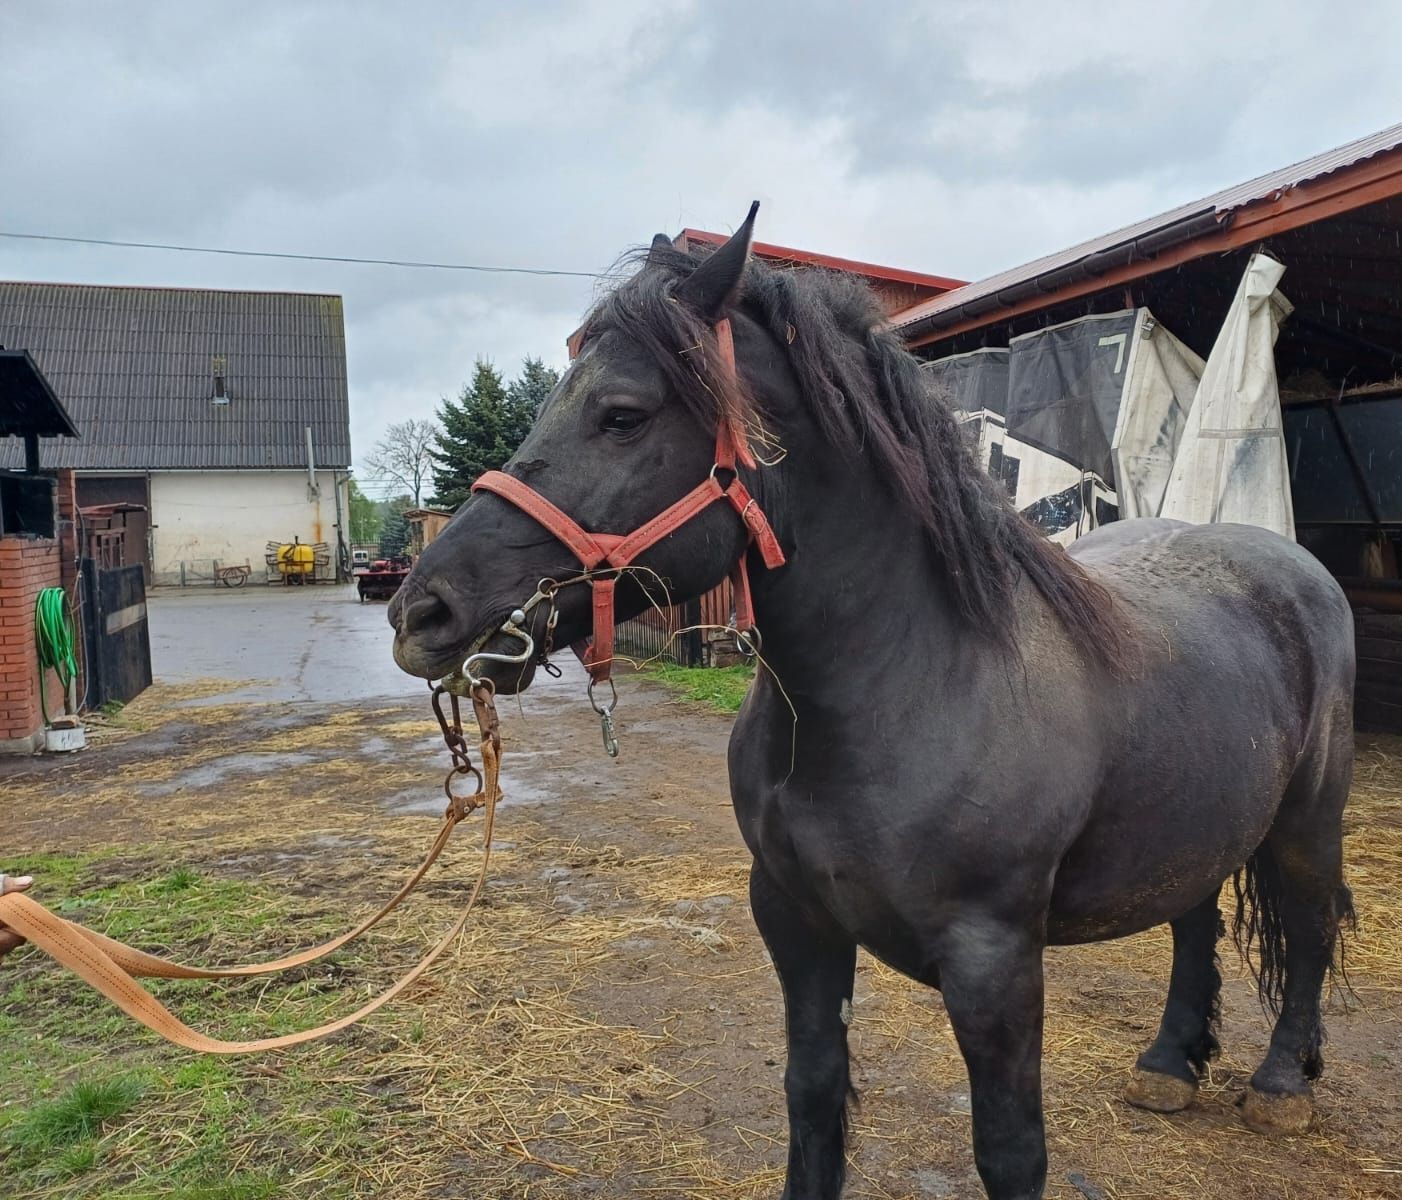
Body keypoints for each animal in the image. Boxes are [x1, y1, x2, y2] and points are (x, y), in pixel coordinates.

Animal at [389, 210, 1351, 1194]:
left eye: (622, 415)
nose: (423, 612)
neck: (906, 683)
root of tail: (1290, 564)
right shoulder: (794, 916)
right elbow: (813, 1096)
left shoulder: (995, 960)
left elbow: (1011, 1150)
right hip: (1199, 819)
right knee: (1195, 915)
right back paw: (1169, 1063)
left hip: (1309, 821)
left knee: (1312, 925)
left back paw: (1281, 1083)